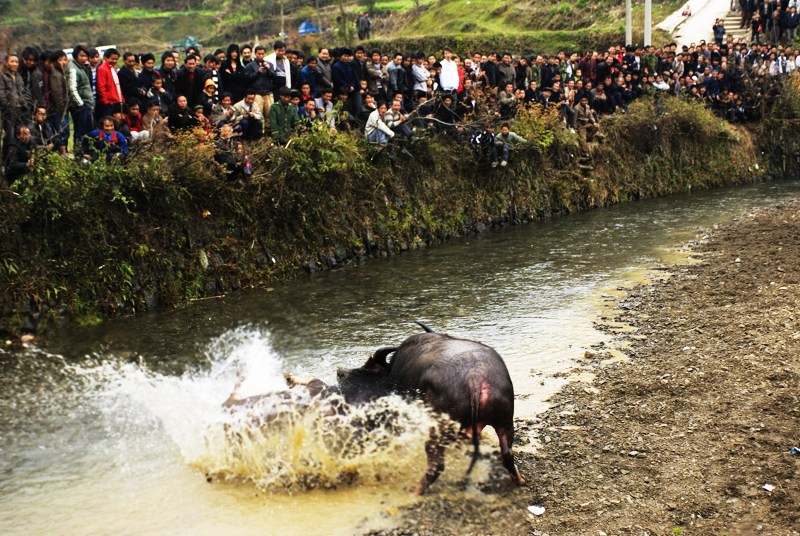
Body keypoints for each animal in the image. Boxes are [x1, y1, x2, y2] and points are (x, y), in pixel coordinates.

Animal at [336, 322, 524, 494]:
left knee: (437, 465)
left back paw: (416, 489)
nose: (340, 372)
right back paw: (520, 479)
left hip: (437, 430)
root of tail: (476, 380)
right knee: (507, 454)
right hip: (505, 421)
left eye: (367, 369)